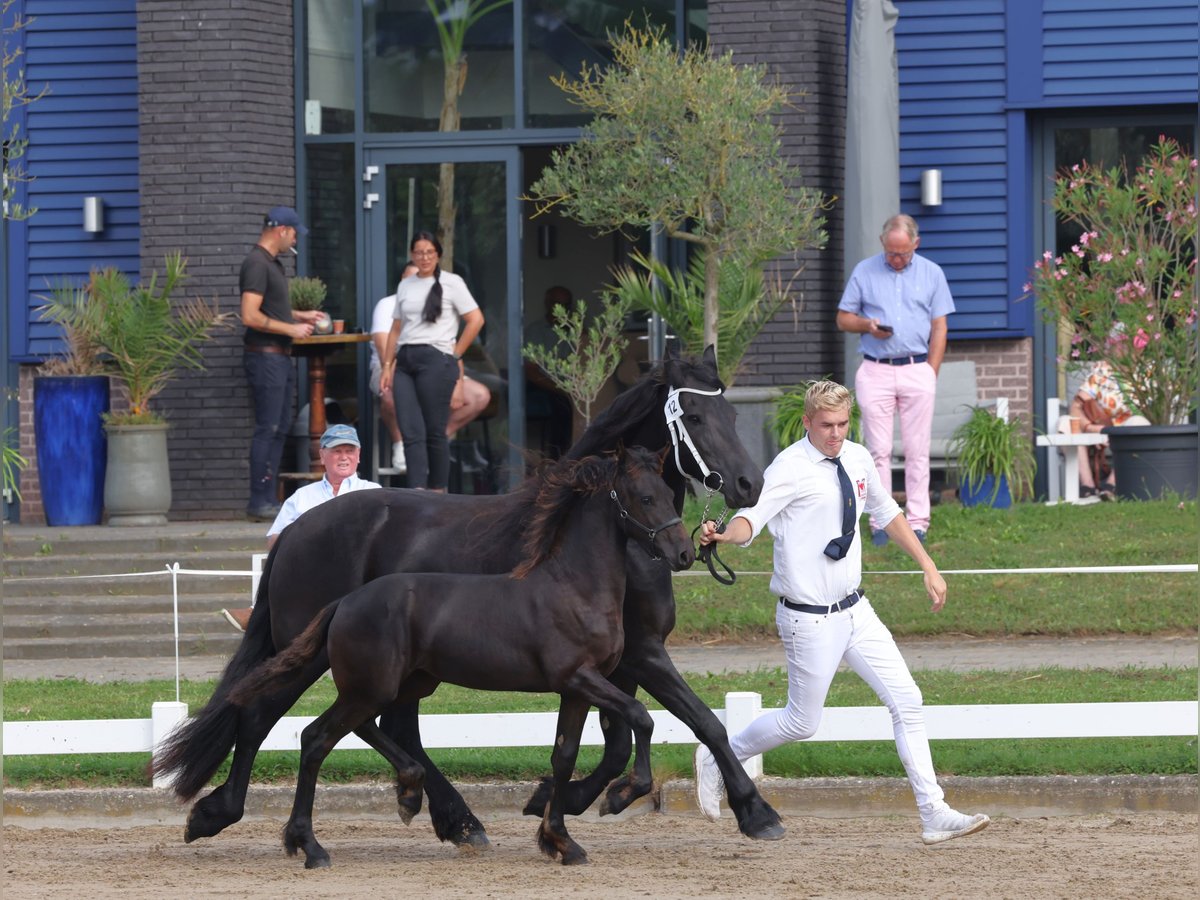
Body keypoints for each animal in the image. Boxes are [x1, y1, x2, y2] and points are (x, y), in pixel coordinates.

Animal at [226, 448, 696, 868]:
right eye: (645, 498)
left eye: (670, 494)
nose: (684, 553)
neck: (573, 586)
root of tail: (343, 602)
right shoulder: (580, 677)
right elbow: (642, 717)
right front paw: (620, 794)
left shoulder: (577, 690)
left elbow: (563, 758)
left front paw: (561, 841)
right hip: (372, 687)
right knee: (316, 739)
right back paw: (312, 846)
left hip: (400, 684)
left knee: (355, 730)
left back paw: (408, 795)